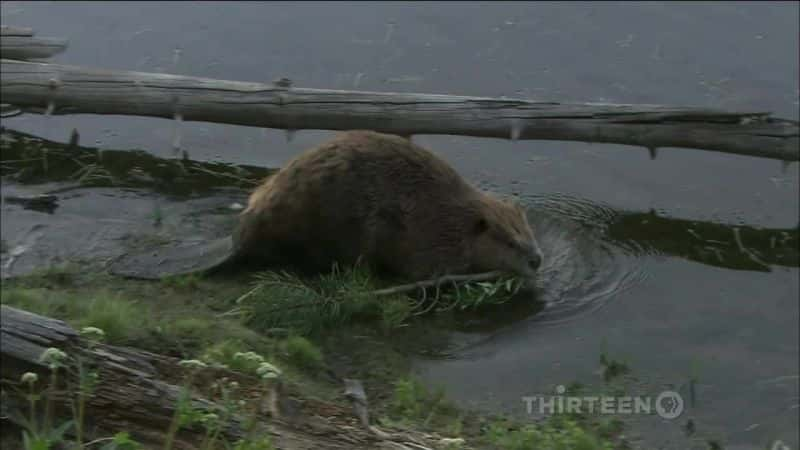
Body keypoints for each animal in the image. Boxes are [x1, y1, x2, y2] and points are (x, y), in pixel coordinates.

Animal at [108, 130, 544, 282]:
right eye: (509, 241)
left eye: (528, 232)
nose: (537, 259)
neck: (454, 216)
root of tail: (238, 240)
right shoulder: (431, 242)